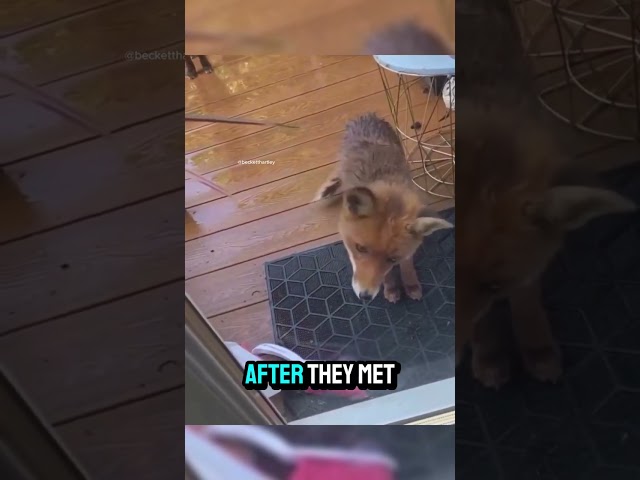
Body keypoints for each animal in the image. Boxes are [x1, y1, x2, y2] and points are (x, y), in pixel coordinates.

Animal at [318, 114, 452, 302]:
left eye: (392, 259)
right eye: (360, 248)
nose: (365, 296)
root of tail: (366, 115)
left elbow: (407, 264)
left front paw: (410, 283)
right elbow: (388, 276)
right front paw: (390, 287)